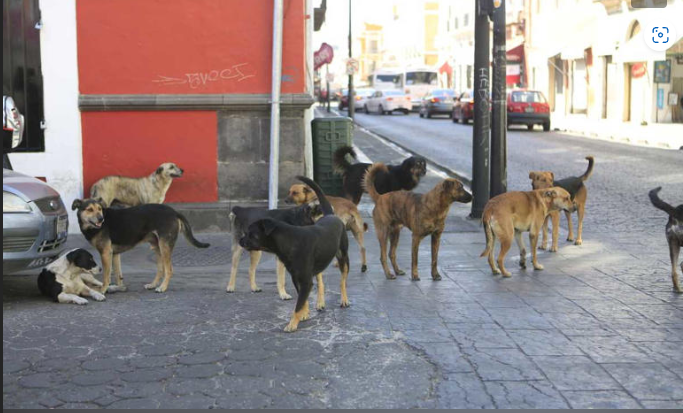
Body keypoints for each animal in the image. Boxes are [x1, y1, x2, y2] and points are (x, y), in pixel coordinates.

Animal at [72, 197, 210, 292]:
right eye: (89, 209)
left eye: (100, 209)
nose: (101, 219)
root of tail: (174, 212)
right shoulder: (114, 253)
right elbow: (118, 274)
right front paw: (120, 288)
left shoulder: (105, 253)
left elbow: (106, 275)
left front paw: (102, 290)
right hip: (157, 247)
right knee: (161, 269)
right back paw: (153, 285)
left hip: (164, 246)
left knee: (169, 269)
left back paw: (162, 287)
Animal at [240, 175, 350, 332]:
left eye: (251, 234)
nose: (240, 240)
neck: (290, 241)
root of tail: (330, 215)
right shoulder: (296, 278)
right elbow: (302, 300)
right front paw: (304, 314)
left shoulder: (305, 280)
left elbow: (298, 304)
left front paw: (292, 324)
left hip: (343, 257)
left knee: (343, 281)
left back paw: (344, 300)